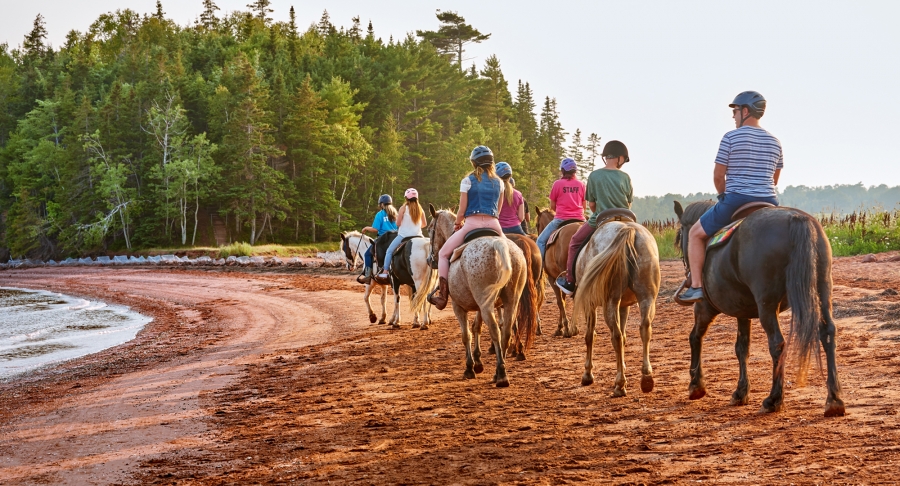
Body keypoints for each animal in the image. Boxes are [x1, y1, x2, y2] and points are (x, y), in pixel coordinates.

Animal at [428, 205, 532, 388]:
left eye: (429, 229)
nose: (430, 260)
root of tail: (499, 244)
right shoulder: (479, 306)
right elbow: (477, 327)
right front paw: (478, 362)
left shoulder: (458, 307)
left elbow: (466, 334)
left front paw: (470, 367)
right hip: (510, 301)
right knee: (506, 332)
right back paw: (499, 371)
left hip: (487, 304)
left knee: (495, 330)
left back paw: (501, 374)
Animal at [536, 206, 584, 338]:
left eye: (537, 224)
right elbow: (563, 300)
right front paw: (562, 327)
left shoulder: (553, 278)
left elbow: (560, 301)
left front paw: (564, 328)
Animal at [572, 216, 664, 394]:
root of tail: (628, 229)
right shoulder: (624, 306)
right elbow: (625, 335)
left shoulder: (589, 304)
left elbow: (590, 336)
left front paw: (588, 374)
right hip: (647, 298)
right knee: (644, 329)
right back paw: (646, 378)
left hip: (611, 302)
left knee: (616, 336)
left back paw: (620, 384)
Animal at [676, 199, 844, 416]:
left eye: (680, 234)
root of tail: (796, 219)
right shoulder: (742, 310)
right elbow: (742, 347)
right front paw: (740, 392)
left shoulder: (705, 307)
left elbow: (695, 337)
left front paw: (697, 385)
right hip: (822, 290)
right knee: (827, 333)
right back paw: (834, 400)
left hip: (767, 304)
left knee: (777, 344)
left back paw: (774, 399)